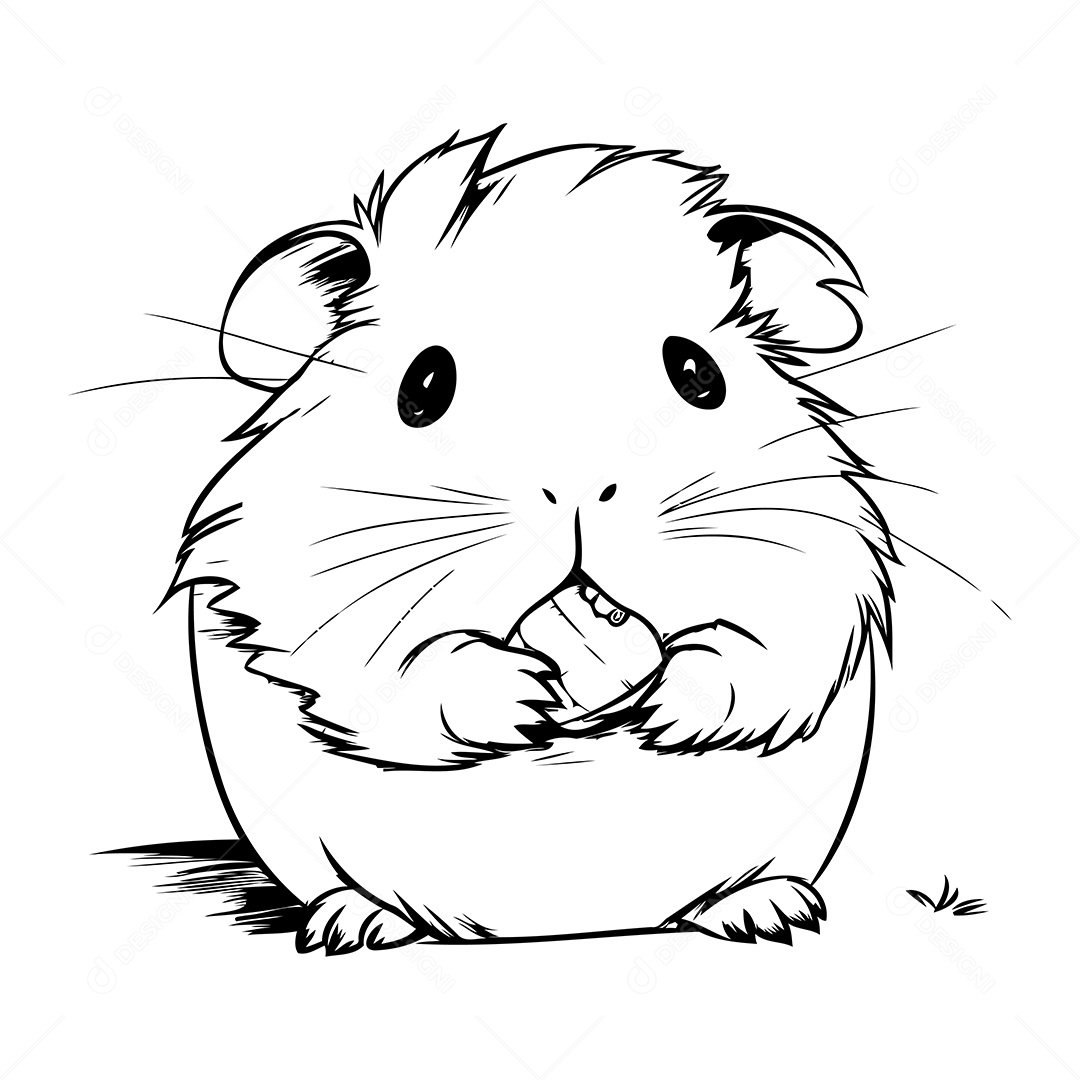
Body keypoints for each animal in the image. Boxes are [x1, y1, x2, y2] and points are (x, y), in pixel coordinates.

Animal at [170, 128, 895, 951]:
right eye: (423, 386)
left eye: (697, 372)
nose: (578, 493)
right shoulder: (302, 591)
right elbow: (392, 668)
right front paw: (528, 696)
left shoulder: (817, 555)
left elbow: (763, 651)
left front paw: (660, 705)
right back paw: (352, 922)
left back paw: (771, 911)